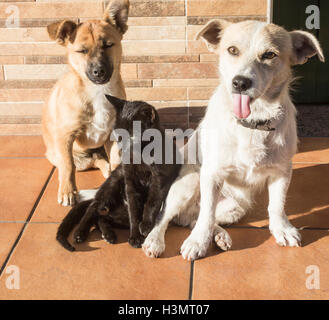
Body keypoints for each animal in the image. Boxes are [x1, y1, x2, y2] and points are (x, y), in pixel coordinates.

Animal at [43, 0, 130, 206]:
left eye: (108, 45)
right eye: (81, 51)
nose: (99, 71)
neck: (97, 92)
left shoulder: (113, 133)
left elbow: (115, 158)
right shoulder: (66, 135)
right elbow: (67, 166)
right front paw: (67, 192)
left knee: (103, 159)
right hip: (75, 158)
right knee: (87, 161)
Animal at [55, 96, 181, 251]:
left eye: (133, 136)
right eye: (119, 134)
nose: (122, 148)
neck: (140, 156)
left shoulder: (159, 180)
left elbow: (152, 202)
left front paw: (145, 226)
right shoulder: (130, 183)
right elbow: (134, 212)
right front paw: (135, 237)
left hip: (120, 213)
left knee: (102, 218)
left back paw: (108, 235)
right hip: (112, 184)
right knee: (92, 209)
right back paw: (80, 233)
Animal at [142, 19, 324, 260]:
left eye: (269, 54)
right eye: (232, 50)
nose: (240, 82)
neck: (253, 122)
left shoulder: (282, 171)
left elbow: (276, 206)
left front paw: (282, 229)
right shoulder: (211, 173)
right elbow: (206, 215)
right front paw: (198, 242)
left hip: (235, 208)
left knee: (193, 218)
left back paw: (219, 235)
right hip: (189, 182)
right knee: (169, 216)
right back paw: (155, 241)